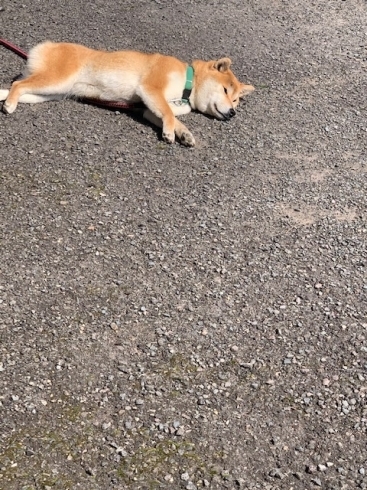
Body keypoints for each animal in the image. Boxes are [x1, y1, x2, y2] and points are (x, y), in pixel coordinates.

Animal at [0, 40, 256, 145]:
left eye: (236, 100)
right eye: (225, 91)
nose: (233, 112)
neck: (188, 82)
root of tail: (45, 46)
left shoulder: (148, 107)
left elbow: (170, 117)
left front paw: (183, 134)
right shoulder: (151, 88)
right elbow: (169, 113)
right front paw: (171, 133)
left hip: (48, 93)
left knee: (15, 87)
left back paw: (6, 99)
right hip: (55, 81)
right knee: (18, 85)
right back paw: (9, 105)